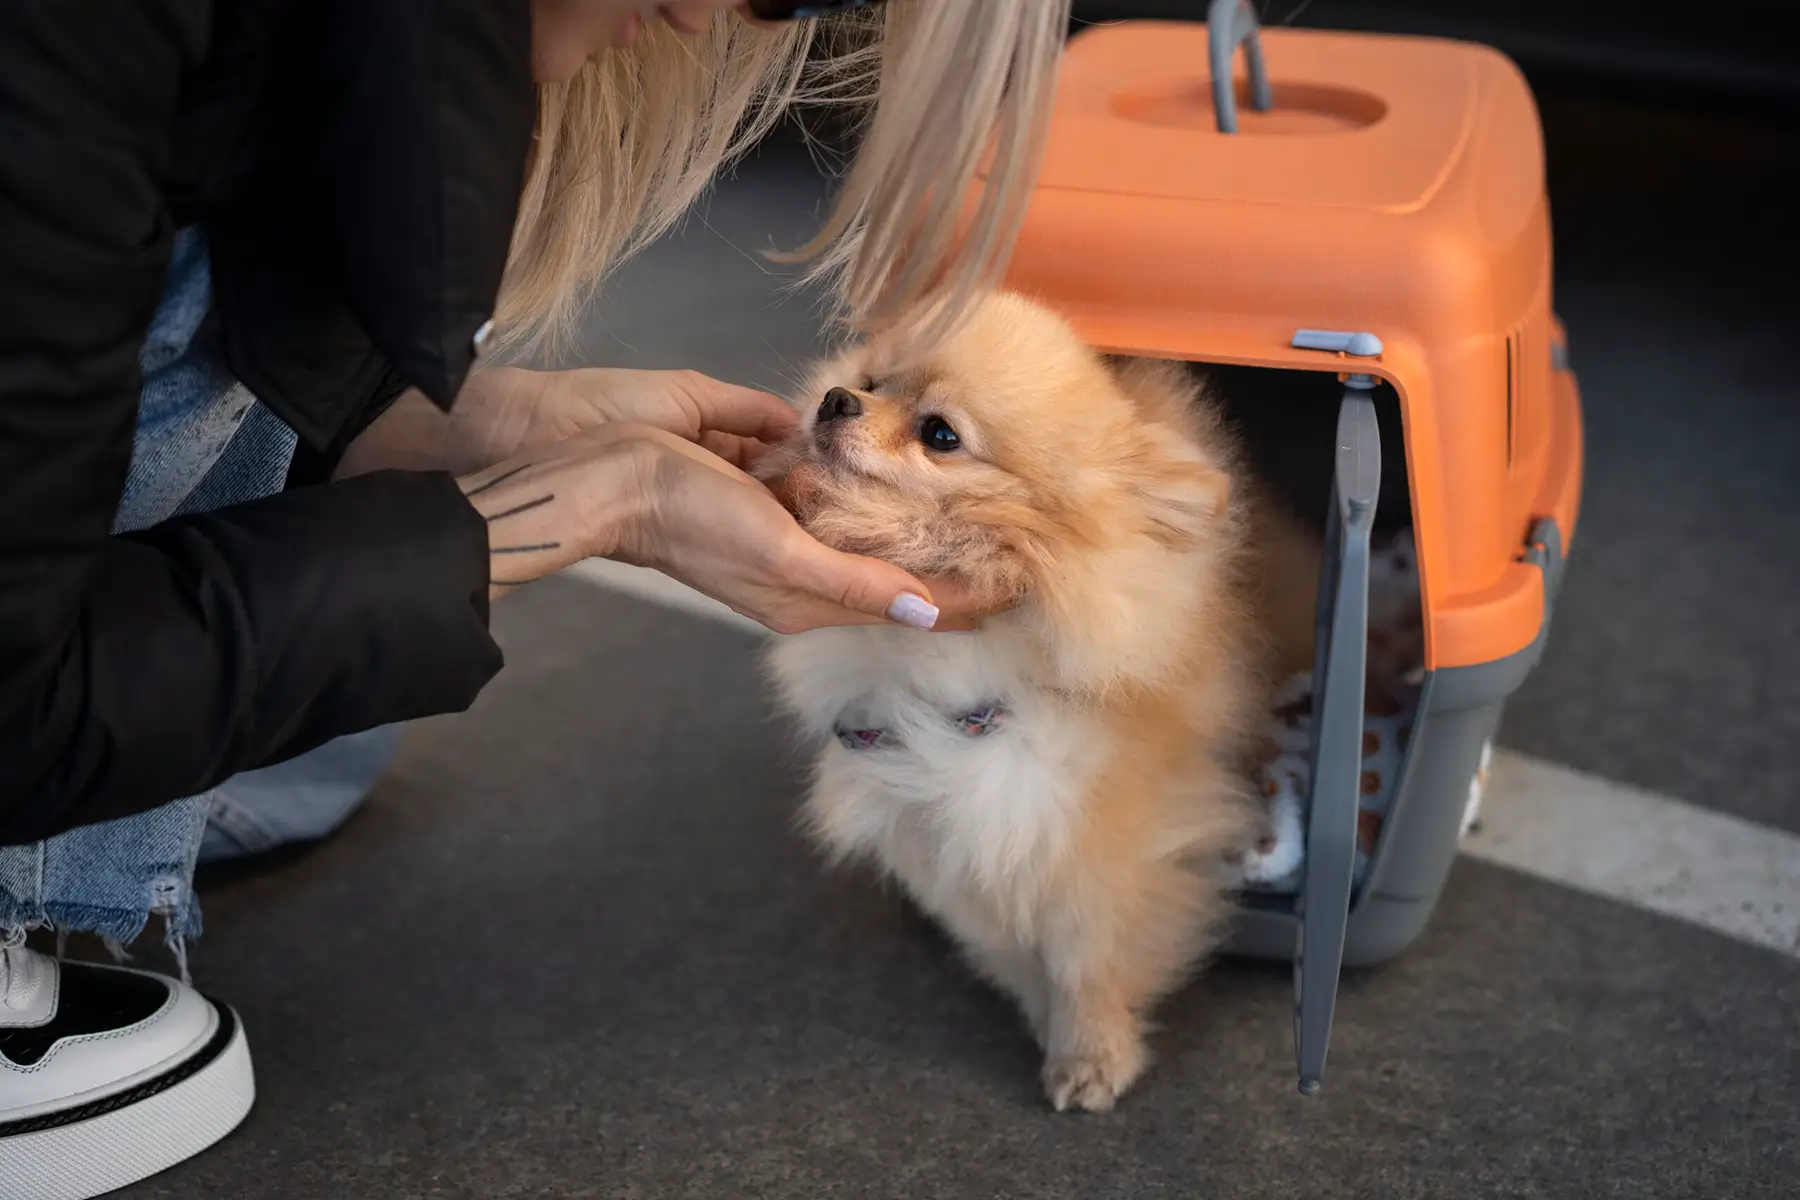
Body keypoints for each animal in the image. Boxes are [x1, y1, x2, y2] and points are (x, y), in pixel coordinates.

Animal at [752, 293, 1288, 1115]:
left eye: (940, 434)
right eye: (872, 381)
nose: (836, 398)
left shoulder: (1097, 831)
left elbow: (1087, 954)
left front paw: (1092, 1052)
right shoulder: (942, 826)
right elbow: (1005, 936)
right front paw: (1043, 1013)